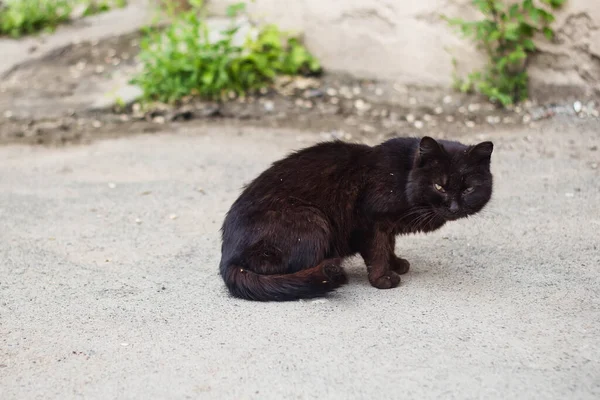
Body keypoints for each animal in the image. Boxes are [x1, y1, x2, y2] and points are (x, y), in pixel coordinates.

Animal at [218, 137, 494, 300]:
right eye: (439, 186)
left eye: (468, 189)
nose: (454, 207)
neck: (403, 174)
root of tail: (228, 258)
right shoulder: (371, 221)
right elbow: (378, 250)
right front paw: (383, 278)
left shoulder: (387, 225)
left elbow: (389, 245)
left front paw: (396, 263)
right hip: (313, 220)